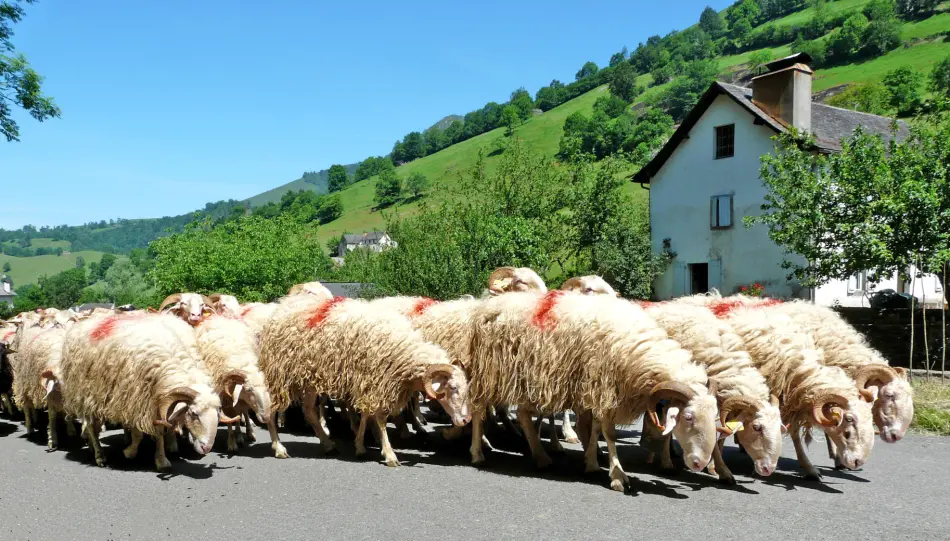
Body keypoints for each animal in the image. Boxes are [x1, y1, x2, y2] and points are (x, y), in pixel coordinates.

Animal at [60, 312, 234, 471]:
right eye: (194, 414)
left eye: (218, 414)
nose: (206, 448)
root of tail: (84, 322)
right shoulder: (136, 402)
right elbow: (141, 433)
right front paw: (132, 452)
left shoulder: (157, 402)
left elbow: (160, 430)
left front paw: (162, 456)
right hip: (85, 393)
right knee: (90, 425)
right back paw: (99, 454)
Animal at [194, 314, 272, 453]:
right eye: (249, 390)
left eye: (266, 388)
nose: (266, 417)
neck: (242, 361)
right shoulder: (224, 397)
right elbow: (230, 418)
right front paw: (231, 443)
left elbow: (242, 412)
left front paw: (245, 432)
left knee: (243, 412)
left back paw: (247, 432)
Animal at [258, 295, 472, 465]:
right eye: (452, 388)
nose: (465, 420)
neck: (401, 350)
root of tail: (284, 306)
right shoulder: (376, 381)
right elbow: (379, 418)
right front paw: (389, 454)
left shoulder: (369, 382)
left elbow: (367, 415)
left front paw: (360, 445)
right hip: (280, 375)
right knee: (273, 409)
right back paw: (279, 448)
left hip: (310, 379)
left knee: (309, 411)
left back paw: (328, 444)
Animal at [469, 291, 719, 492]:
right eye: (688, 417)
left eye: (714, 417)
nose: (699, 464)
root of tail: (490, 303)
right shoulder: (604, 388)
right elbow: (609, 433)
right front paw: (617, 476)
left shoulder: (598, 391)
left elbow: (596, 429)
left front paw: (591, 462)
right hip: (489, 373)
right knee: (479, 410)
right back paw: (478, 453)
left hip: (527, 380)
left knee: (522, 415)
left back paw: (541, 457)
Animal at [639, 301, 785, 483]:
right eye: (756, 427)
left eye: (780, 428)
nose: (768, 469)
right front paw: (667, 464)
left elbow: (721, 434)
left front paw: (716, 468)